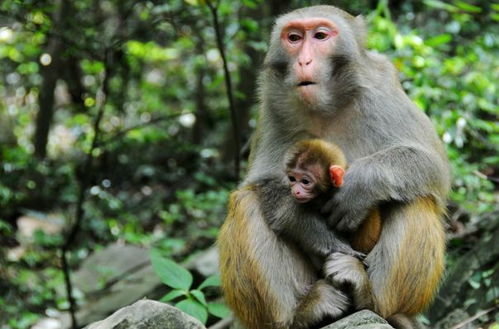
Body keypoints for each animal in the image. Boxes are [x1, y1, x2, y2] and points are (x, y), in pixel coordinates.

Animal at [217, 5, 452, 328]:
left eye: (320, 36)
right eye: (293, 38)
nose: (304, 60)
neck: (325, 108)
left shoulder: (382, 89)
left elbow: (431, 164)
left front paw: (359, 186)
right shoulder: (271, 105)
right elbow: (263, 182)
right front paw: (312, 228)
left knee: (416, 197)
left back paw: (370, 296)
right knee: (247, 202)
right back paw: (301, 313)